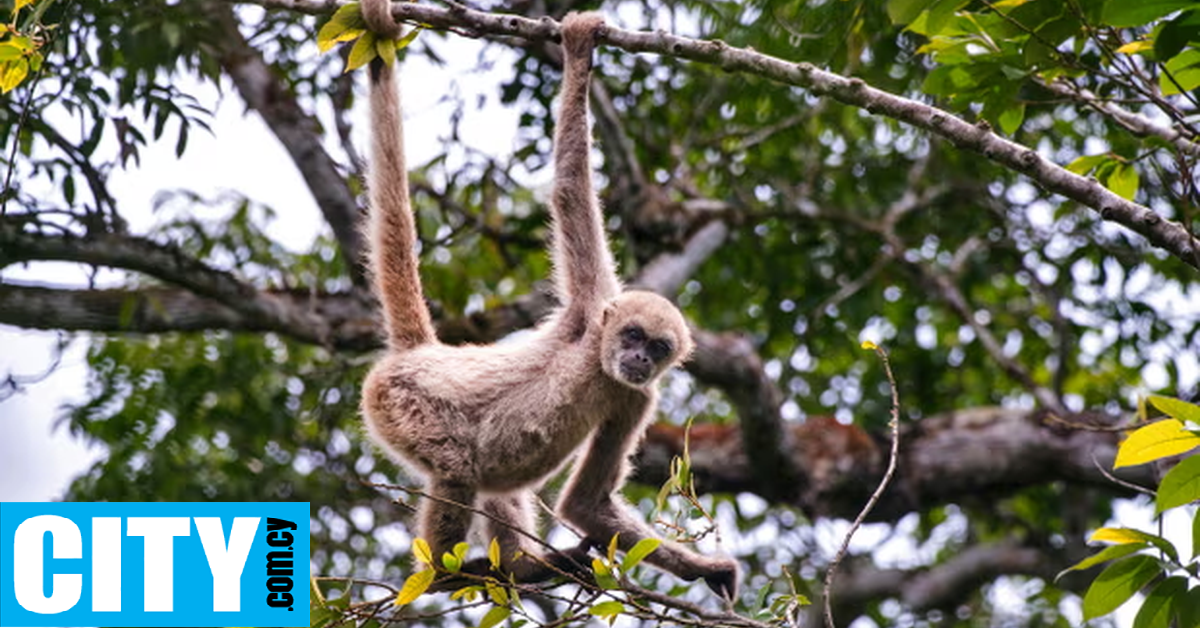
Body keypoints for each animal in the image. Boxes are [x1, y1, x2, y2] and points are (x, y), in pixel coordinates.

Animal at [352, 1, 739, 600]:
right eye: (632, 335)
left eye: (657, 348)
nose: (637, 357)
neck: (599, 362)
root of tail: (421, 354)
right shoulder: (590, 306)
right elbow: (569, 191)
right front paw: (579, 54)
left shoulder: (637, 397)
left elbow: (586, 504)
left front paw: (706, 571)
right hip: (399, 401)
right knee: (458, 467)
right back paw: (445, 573)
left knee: (493, 480)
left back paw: (521, 568)